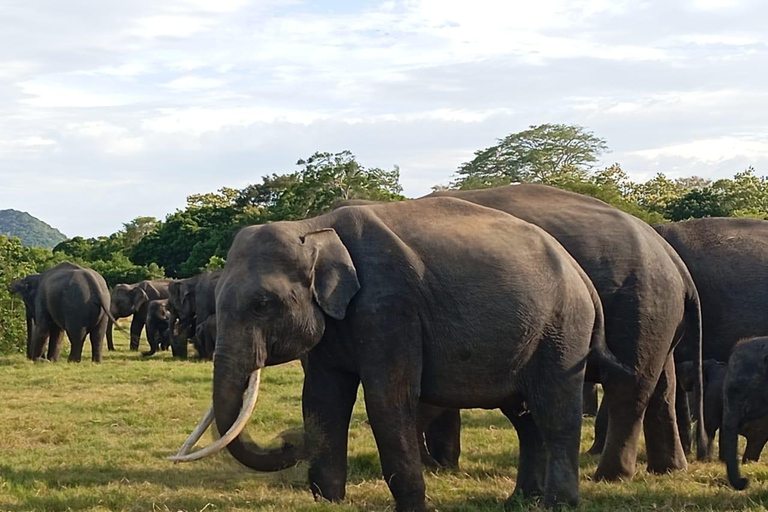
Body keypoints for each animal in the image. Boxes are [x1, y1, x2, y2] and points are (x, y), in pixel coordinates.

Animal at [170, 197, 632, 512]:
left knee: (554, 412)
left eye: (262, 304)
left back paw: (557, 504)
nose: (288, 439)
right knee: (523, 417)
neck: (314, 228)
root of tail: (581, 276)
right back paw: (520, 501)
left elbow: (387, 401)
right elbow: (322, 399)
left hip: (562, 329)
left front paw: (413, 507)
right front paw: (329, 501)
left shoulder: (389, 308)